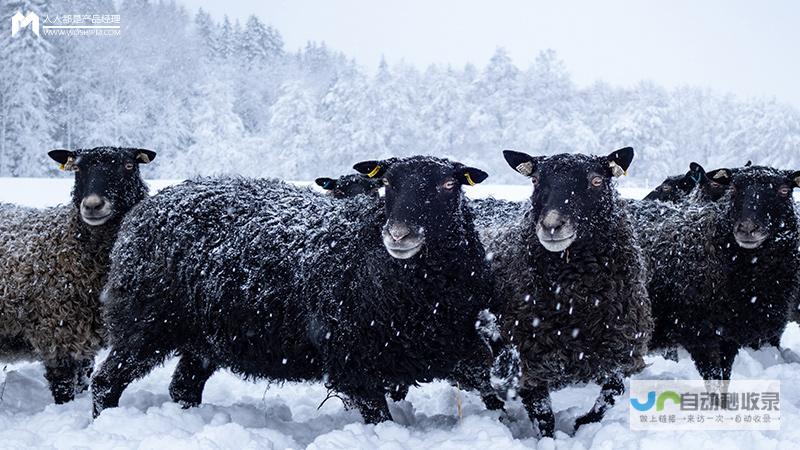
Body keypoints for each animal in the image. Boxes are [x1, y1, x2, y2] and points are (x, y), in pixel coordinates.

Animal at [90, 156, 504, 422]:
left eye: (449, 185)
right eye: (388, 184)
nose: (399, 235)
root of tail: (145, 208)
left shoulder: (453, 343)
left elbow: (493, 392)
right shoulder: (351, 361)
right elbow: (380, 418)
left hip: (204, 337)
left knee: (183, 387)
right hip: (144, 324)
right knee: (105, 383)